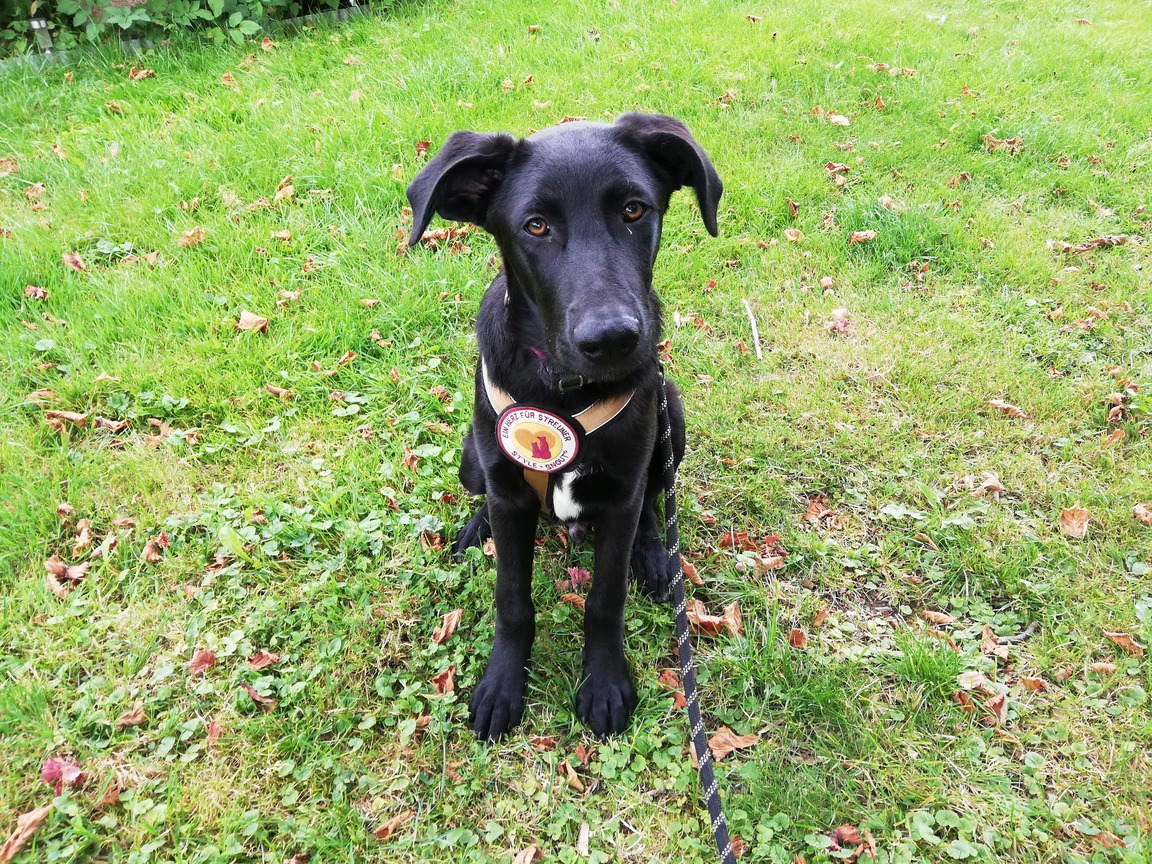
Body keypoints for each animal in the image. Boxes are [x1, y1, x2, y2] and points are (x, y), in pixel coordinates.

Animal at [406, 113, 722, 739]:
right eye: (536, 226)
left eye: (634, 211)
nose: (613, 340)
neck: (563, 389)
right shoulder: (507, 485)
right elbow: (512, 599)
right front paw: (503, 682)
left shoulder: (621, 494)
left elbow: (605, 598)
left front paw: (603, 682)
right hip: (472, 455)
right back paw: (475, 529)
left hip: (671, 413)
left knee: (656, 500)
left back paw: (655, 556)